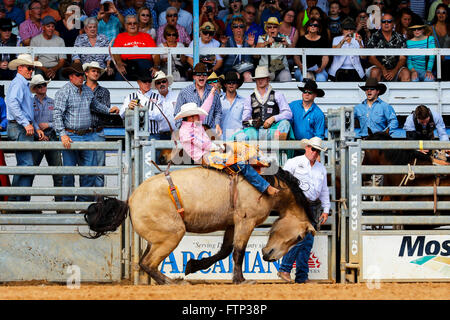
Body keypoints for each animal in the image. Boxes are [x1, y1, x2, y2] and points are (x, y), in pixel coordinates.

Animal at [85, 166, 316, 284]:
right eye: (299, 237)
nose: (269, 257)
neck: (269, 186)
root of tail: (130, 200)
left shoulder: (232, 223)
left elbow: (225, 250)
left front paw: (193, 265)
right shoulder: (246, 221)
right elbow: (239, 251)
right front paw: (241, 280)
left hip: (156, 238)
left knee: (144, 262)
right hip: (172, 234)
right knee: (148, 263)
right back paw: (174, 282)